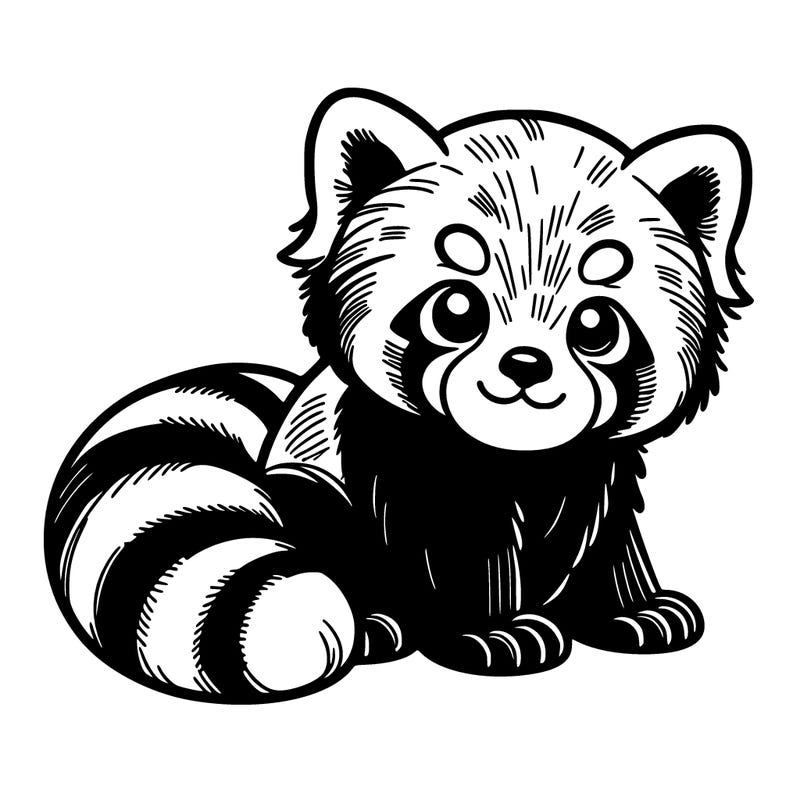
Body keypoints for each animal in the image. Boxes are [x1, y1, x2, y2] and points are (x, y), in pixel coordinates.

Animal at [45, 89, 751, 703]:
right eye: (456, 310)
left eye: (596, 325)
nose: (525, 365)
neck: (522, 460)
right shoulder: (414, 472)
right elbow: (463, 549)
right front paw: (491, 627)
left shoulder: (596, 469)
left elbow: (609, 536)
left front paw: (629, 605)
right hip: (313, 503)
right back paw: (381, 623)